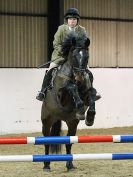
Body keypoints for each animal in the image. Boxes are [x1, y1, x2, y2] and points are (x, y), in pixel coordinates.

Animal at [40, 31, 96, 171]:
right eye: (74, 56)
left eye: (87, 56)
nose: (80, 78)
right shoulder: (62, 97)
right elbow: (71, 87)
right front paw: (80, 109)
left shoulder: (87, 92)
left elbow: (92, 94)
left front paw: (89, 117)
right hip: (47, 120)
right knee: (46, 141)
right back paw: (46, 165)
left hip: (72, 123)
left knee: (68, 142)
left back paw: (70, 165)